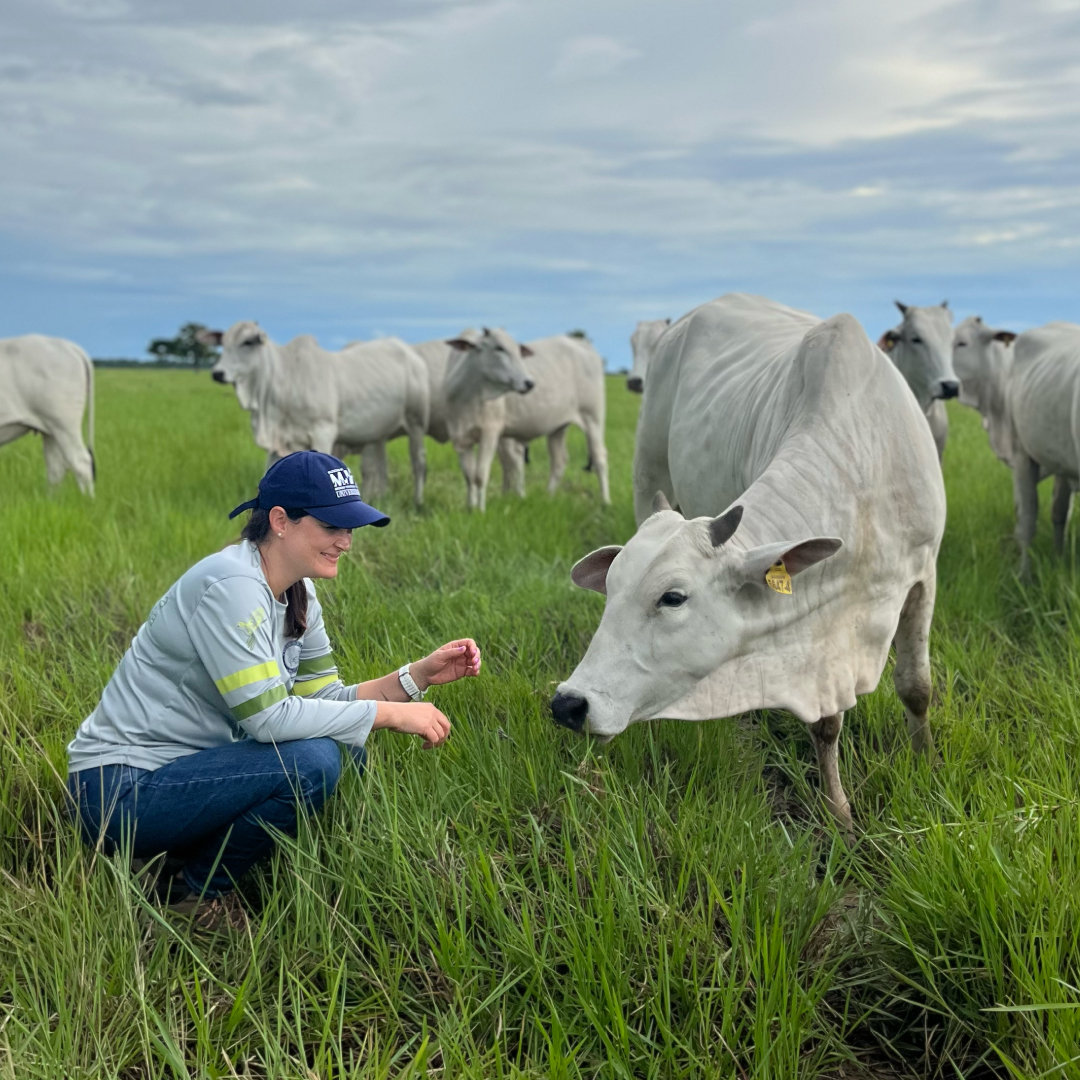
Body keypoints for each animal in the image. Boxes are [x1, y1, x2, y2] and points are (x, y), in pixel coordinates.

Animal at [0, 335, 95, 495]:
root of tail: (67, 345)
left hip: (65, 425)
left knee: (80, 462)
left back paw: (87, 499)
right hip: (51, 430)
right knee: (56, 468)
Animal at [205, 322, 429, 505]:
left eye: (247, 342)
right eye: (222, 343)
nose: (217, 373)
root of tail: (410, 353)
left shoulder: (324, 432)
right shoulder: (278, 443)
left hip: (416, 423)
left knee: (418, 463)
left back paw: (418, 502)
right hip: (378, 434)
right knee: (379, 468)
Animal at [495, 334, 611, 505]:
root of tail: (581, 343)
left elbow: (513, 462)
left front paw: (517, 496)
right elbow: (505, 463)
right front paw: (504, 495)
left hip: (592, 418)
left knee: (599, 456)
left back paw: (605, 501)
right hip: (558, 427)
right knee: (559, 461)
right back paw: (548, 496)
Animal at [550, 294, 945, 838]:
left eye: (673, 597)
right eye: (610, 590)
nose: (568, 703)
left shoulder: (923, 573)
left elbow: (916, 688)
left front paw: (923, 764)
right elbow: (826, 723)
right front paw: (839, 814)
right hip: (646, 474)